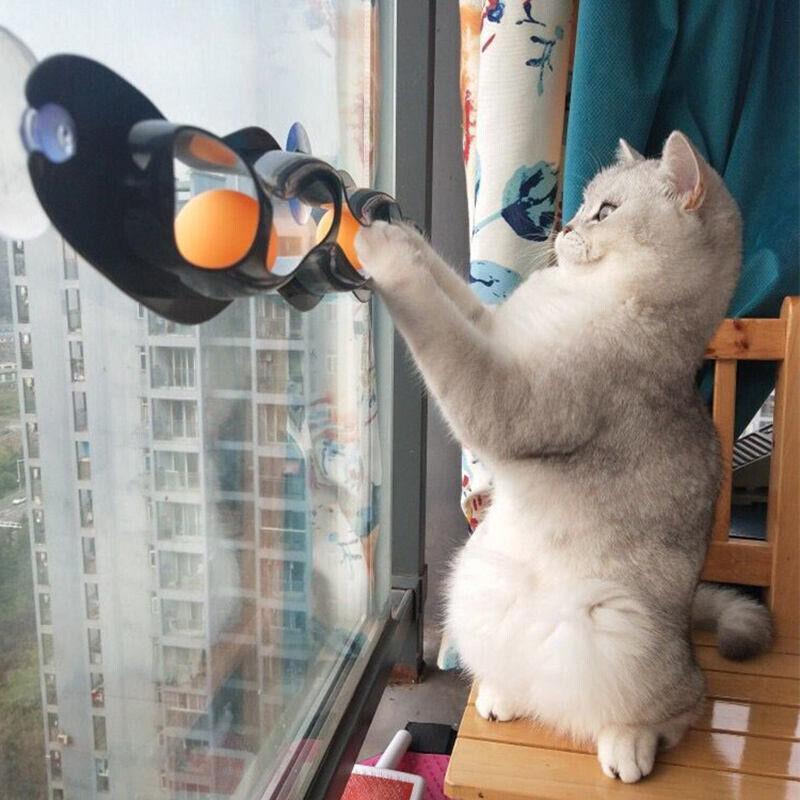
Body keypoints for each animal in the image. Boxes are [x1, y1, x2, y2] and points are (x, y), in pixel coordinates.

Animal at [354, 131, 772, 780]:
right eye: (583, 205)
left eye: (606, 211)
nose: (565, 227)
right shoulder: (493, 332)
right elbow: (446, 287)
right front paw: (397, 224)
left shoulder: (507, 398)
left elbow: (435, 322)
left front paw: (379, 245)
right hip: (477, 579)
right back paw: (503, 696)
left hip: (618, 624)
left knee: (683, 708)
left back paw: (628, 747)